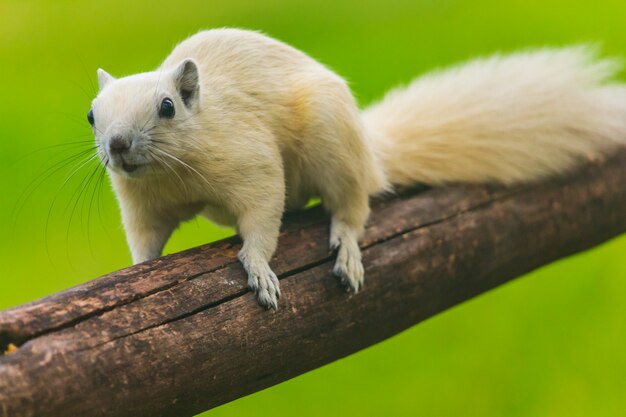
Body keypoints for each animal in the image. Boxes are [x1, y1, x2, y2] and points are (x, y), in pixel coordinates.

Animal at [89, 28, 624, 308]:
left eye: (167, 107)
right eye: (92, 115)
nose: (116, 146)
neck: (169, 171)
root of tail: (371, 152)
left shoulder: (253, 165)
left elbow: (262, 221)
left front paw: (259, 270)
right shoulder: (140, 207)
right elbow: (146, 244)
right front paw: (135, 273)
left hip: (334, 146)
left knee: (353, 207)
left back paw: (346, 248)